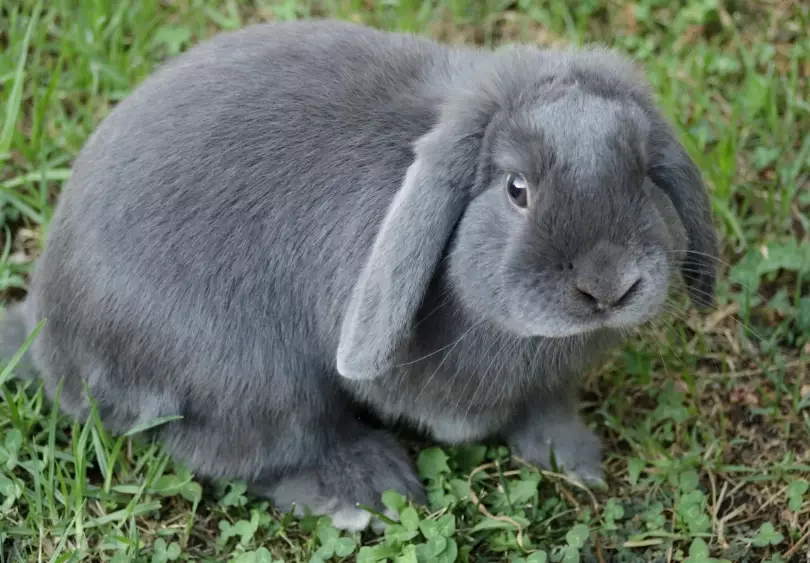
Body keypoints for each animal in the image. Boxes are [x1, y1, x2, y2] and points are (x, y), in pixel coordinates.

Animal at [0, 19, 717, 531]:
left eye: (643, 174)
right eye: (517, 189)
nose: (608, 285)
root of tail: (45, 329)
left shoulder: (549, 385)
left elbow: (546, 410)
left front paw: (576, 459)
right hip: (255, 381)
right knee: (250, 453)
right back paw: (367, 489)